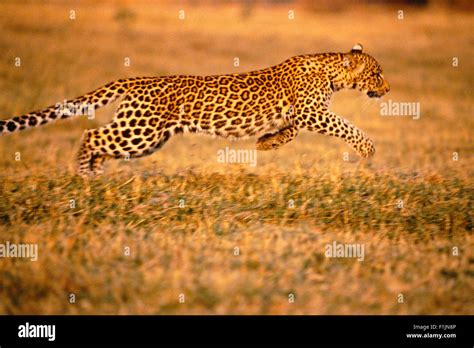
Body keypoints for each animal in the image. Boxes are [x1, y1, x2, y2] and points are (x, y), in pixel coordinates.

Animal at [0, 43, 388, 177]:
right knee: (91, 133)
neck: (333, 72)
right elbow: (346, 126)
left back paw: (94, 171)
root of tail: (135, 80)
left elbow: (288, 132)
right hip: (140, 132)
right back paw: (84, 174)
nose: (388, 90)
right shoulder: (313, 113)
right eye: (377, 74)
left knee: (102, 141)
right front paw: (368, 150)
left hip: (147, 138)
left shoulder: (300, 115)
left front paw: (265, 143)